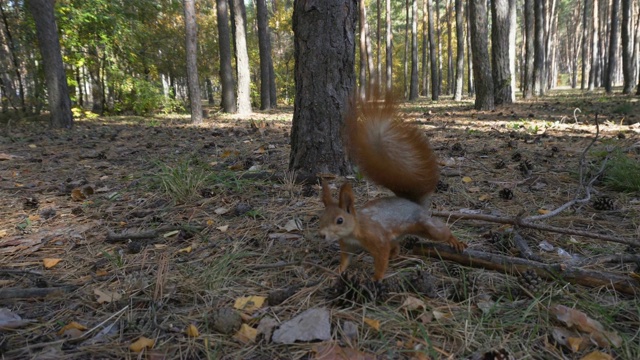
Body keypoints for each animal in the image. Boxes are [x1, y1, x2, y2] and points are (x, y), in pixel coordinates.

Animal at [318, 91, 464, 280]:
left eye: (340, 220)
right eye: (321, 217)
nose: (322, 235)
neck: (355, 229)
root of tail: (413, 203)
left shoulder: (378, 240)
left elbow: (381, 259)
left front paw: (376, 279)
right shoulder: (347, 246)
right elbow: (345, 260)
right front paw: (337, 272)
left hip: (426, 226)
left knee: (442, 231)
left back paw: (455, 241)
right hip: (397, 237)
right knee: (396, 247)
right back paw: (396, 255)